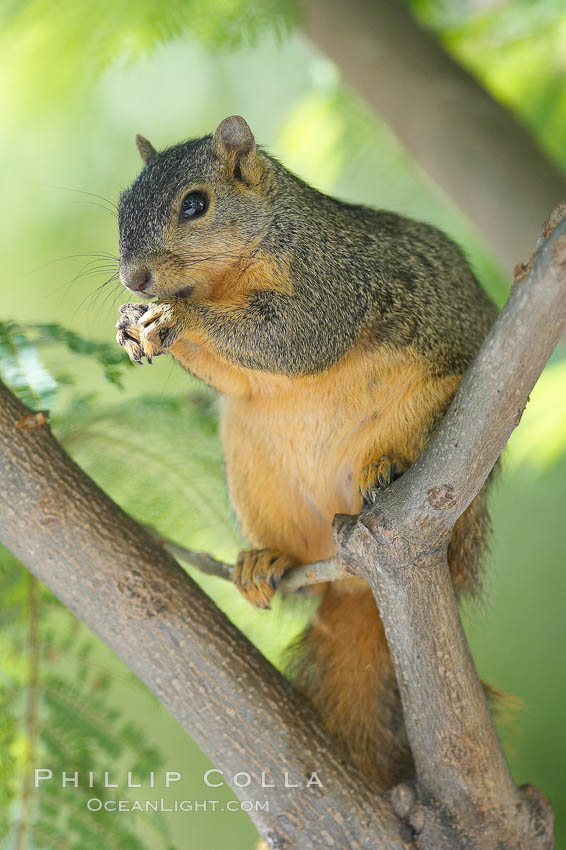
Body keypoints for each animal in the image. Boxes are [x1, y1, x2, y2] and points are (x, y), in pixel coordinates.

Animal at [117, 116, 500, 784]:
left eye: (195, 204)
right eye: (120, 207)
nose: (133, 280)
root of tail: (354, 578)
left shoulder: (331, 278)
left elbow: (294, 338)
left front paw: (177, 317)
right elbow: (240, 378)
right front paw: (132, 324)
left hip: (444, 428)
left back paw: (390, 464)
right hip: (254, 467)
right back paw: (265, 561)